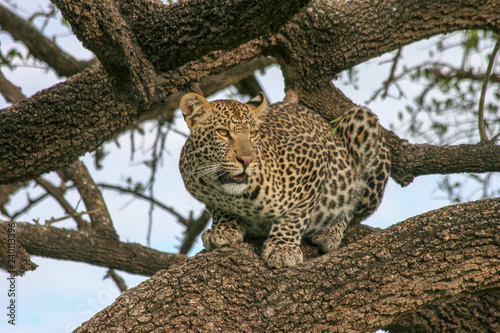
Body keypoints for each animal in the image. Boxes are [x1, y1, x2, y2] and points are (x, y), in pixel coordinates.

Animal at [180, 92, 390, 268]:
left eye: (253, 134)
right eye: (223, 132)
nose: (247, 160)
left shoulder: (314, 156)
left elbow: (295, 215)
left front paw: (282, 248)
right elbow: (219, 208)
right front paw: (223, 228)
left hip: (363, 125)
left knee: (354, 199)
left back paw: (330, 231)